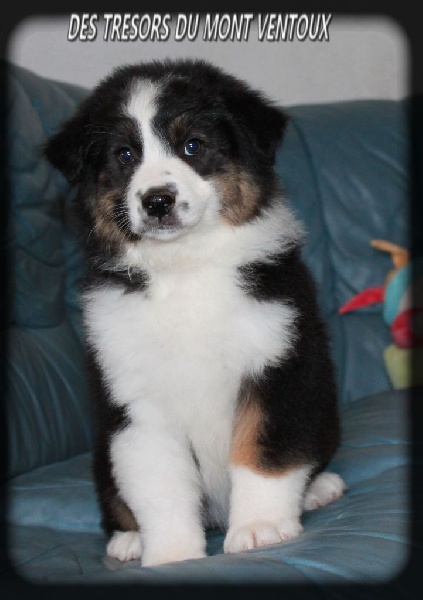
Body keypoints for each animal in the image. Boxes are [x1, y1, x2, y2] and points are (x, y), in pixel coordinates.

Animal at [44, 57, 346, 568]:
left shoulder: (279, 366)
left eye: (193, 146)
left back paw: (318, 488)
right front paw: (172, 556)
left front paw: (260, 528)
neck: (185, 269)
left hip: (323, 409)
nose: (157, 200)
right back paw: (128, 540)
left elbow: (265, 452)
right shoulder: (137, 400)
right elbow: (160, 485)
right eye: (124, 155)